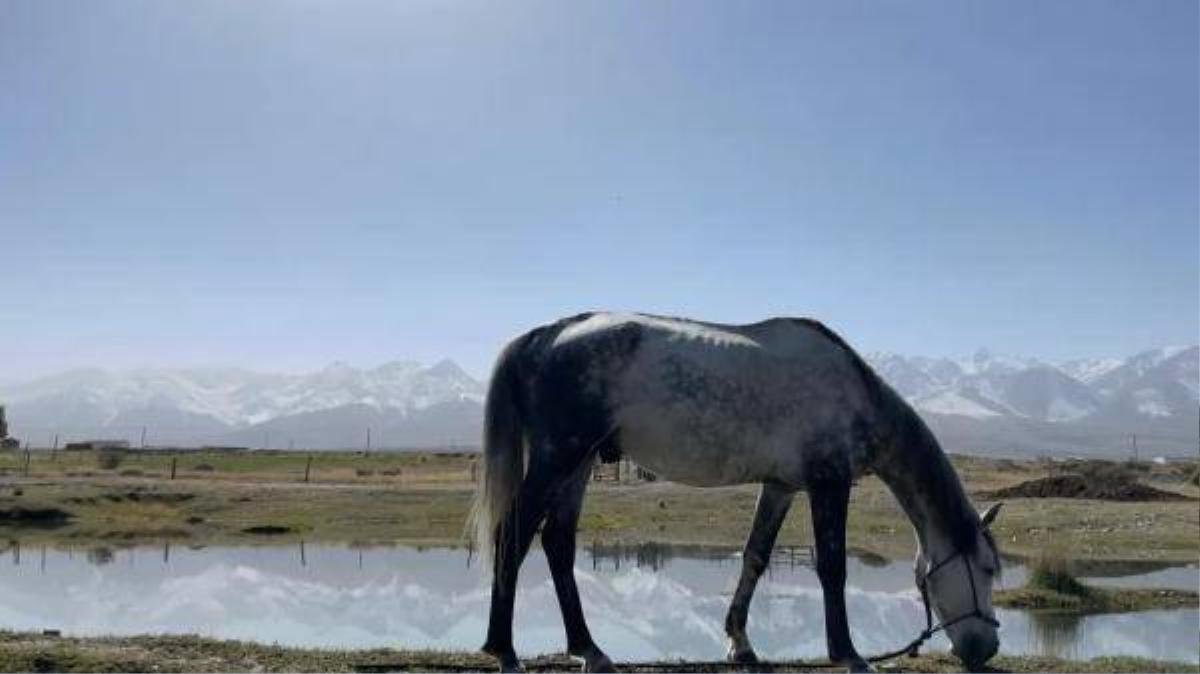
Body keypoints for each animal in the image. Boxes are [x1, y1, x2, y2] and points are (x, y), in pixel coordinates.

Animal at [468, 314, 1003, 671]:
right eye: (987, 569)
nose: (987, 648)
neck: (854, 392)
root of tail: (545, 335)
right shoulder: (829, 484)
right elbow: (832, 568)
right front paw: (849, 654)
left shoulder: (781, 486)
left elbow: (755, 557)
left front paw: (740, 644)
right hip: (558, 457)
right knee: (513, 536)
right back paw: (504, 649)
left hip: (578, 464)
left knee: (558, 544)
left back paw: (589, 649)